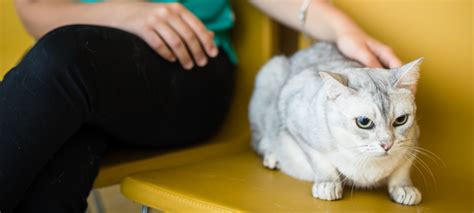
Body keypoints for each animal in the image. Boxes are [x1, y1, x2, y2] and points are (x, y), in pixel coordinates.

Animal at [250, 41, 424, 205]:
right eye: (364, 122)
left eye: (401, 120)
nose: (387, 144)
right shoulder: (297, 126)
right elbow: (321, 161)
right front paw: (328, 184)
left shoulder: (412, 144)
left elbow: (402, 169)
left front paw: (404, 187)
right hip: (270, 76)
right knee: (259, 140)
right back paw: (272, 156)